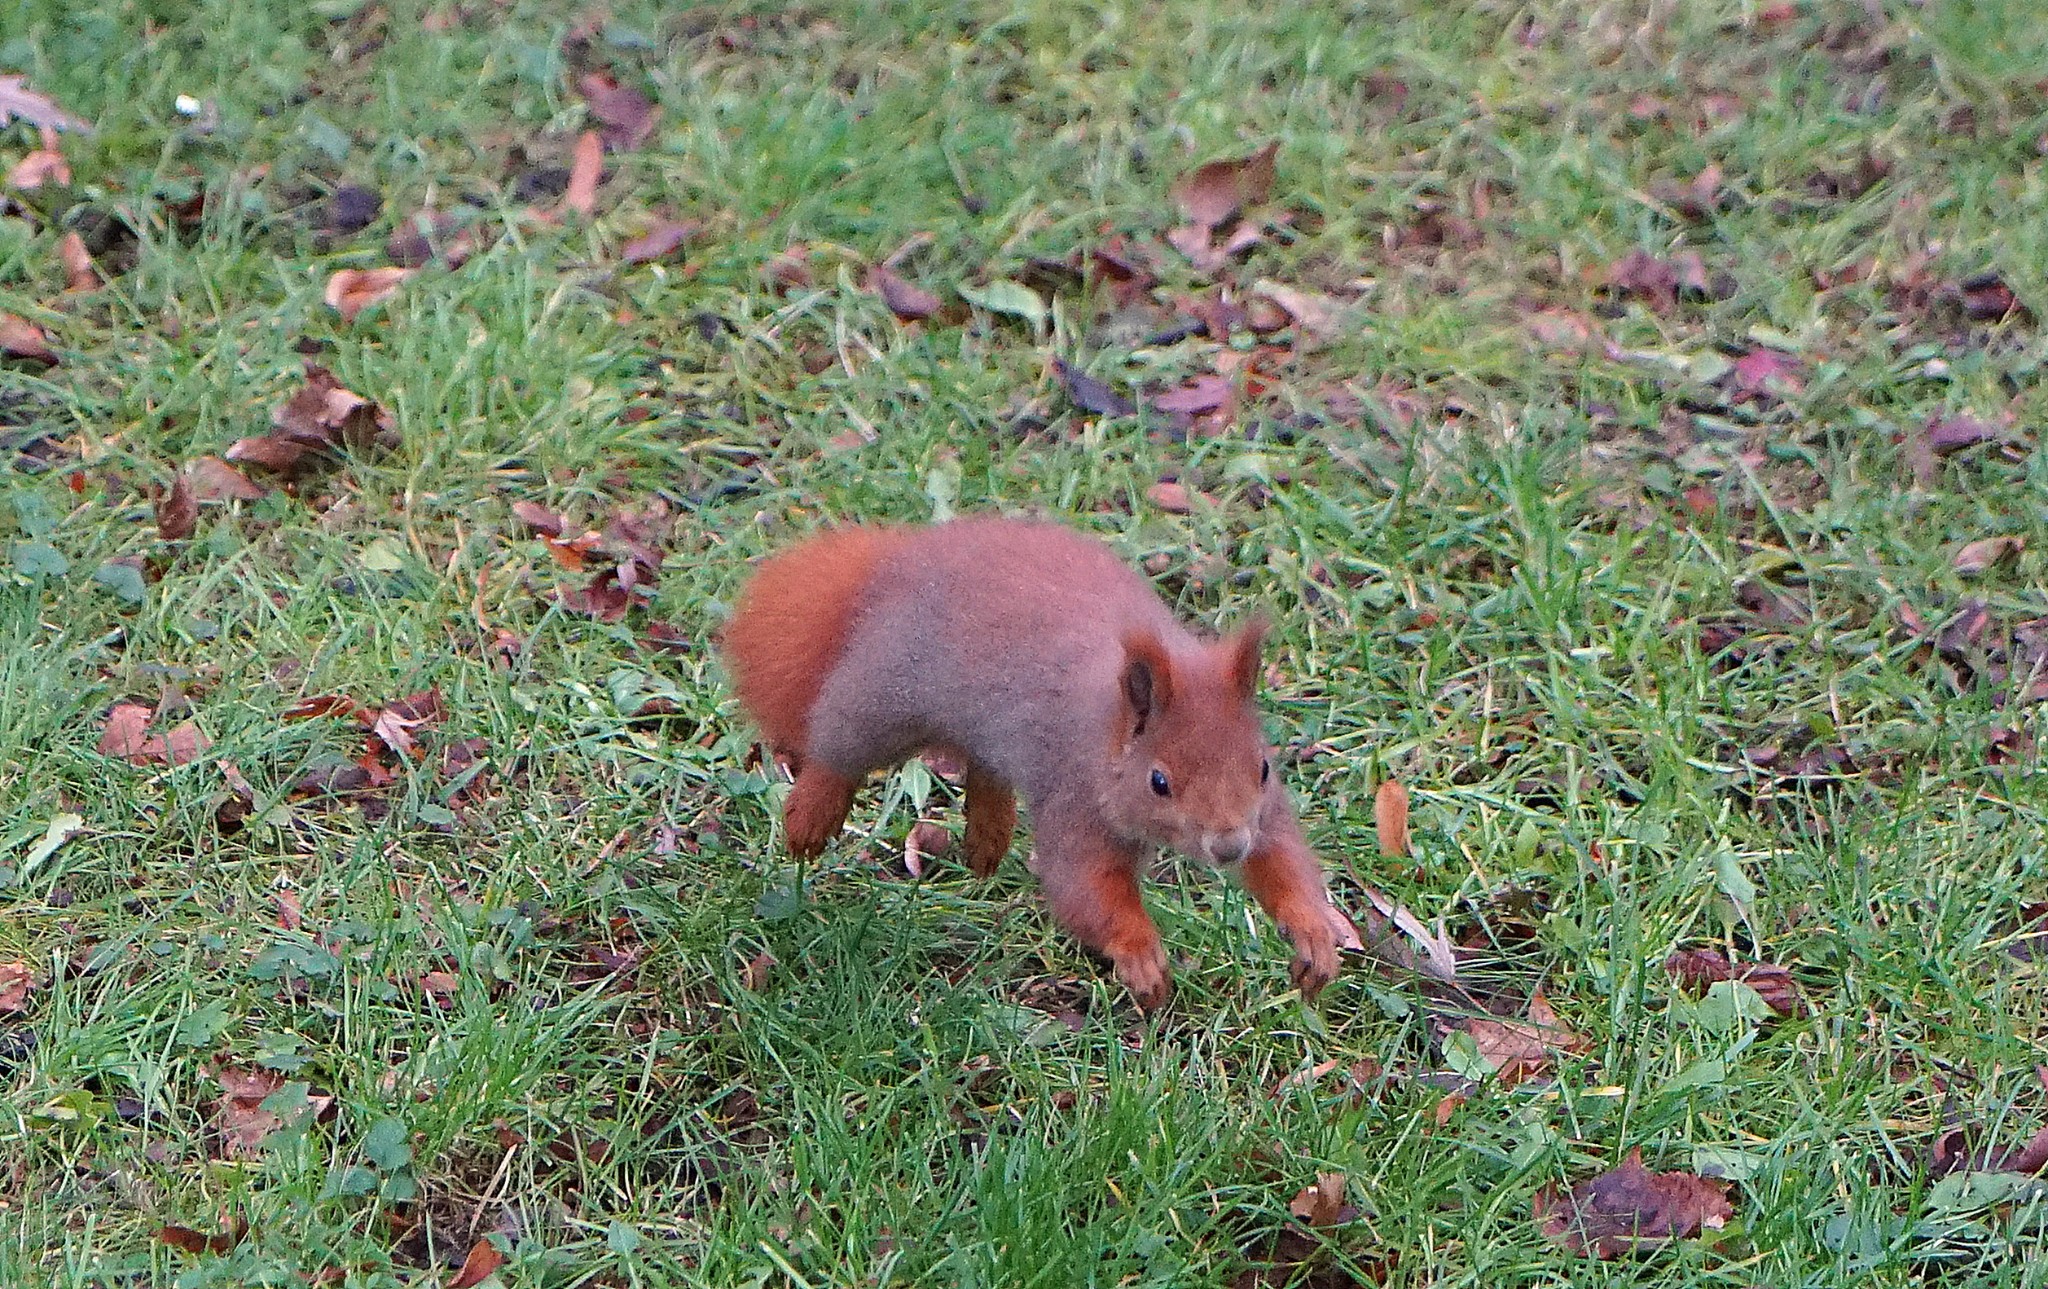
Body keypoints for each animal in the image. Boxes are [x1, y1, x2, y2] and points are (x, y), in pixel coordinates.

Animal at [720, 512, 1359, 1004]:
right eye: (1158, 781)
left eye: (1263, 768)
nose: (1228, 848)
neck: (1108, 734)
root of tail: (897, 561)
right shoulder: (1074, 797)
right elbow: (1084, 889)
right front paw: (1140, 954)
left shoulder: (1264, 817)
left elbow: (1283, 860)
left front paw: (1314, 936)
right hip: (883, 691)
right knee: (838, 744)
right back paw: (810, 819)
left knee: (983, 766)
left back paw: (986, 841)